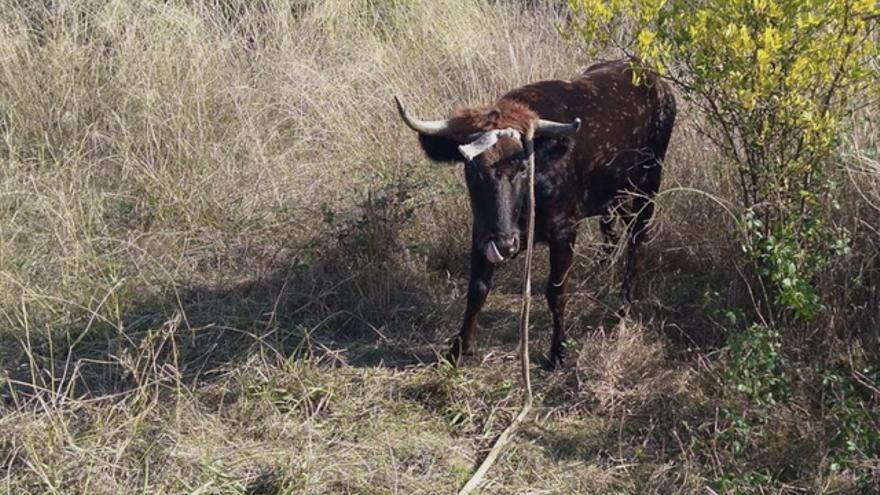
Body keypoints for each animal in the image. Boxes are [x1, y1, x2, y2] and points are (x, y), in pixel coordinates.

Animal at [396, 59, 676, 368]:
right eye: (472, 169)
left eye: (522, 167)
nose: (507, 244)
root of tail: (654, 80)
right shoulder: (483, 230)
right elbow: (477, 289)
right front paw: (458, 349)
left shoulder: (564, 230)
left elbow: (556, 291)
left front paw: (559, 350)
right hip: (613, 196)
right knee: (612, 232)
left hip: (648, 186)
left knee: (636, 240)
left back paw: (625, 306)